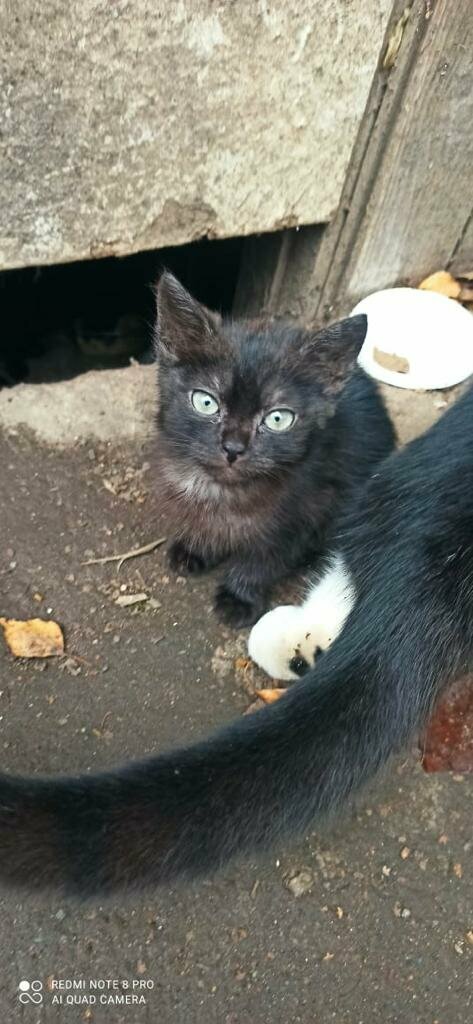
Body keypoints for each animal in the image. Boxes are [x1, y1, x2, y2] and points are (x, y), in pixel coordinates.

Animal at [153, 271, 395, 626]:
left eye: (278, 418)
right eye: (205, 402)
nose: (233, 448)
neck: (225, 492)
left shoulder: (308, 514)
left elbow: (263, 560)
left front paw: (238, 597)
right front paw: (196, 549)